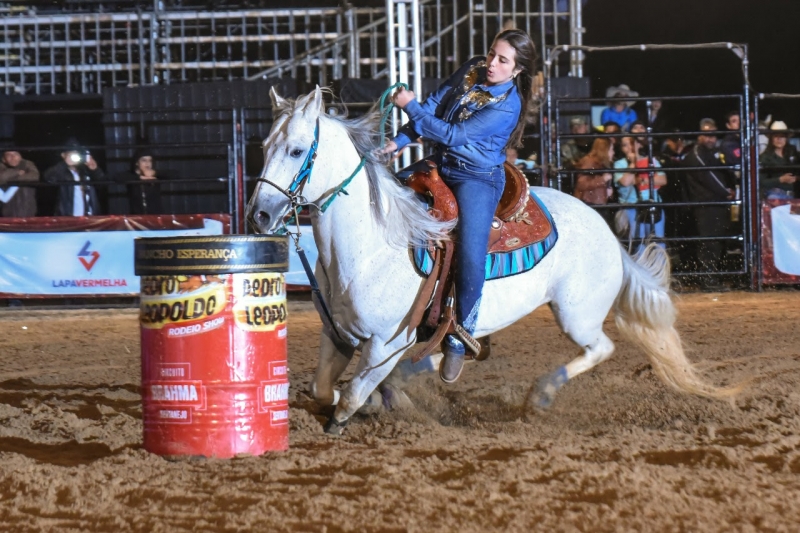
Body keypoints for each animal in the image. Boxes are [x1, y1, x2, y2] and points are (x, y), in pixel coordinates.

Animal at [248, 87, 736, 434]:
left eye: (296, 150)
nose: (259, 215)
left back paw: (541, 395)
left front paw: (359, 411)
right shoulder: (339, 336)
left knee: (600, 348)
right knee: (459, 346)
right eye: (264, 145)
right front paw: (382, 400)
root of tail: (605, 230)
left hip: (576, 315)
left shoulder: (385, 343)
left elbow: (349, 398)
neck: (371, 248)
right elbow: (322, 389)